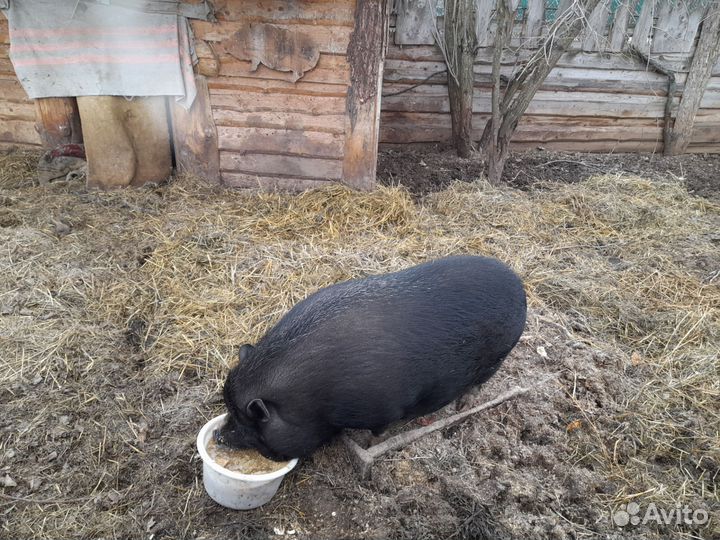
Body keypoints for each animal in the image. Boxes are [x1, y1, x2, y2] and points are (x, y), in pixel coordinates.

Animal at [216, 255, 527, 461]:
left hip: (498, 355)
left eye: (247, 422)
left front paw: (364, 444)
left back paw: (465, 403)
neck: (311, 402)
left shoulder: (385, 408)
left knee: (480, 382)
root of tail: (519, 286)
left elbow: (377, 433)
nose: (219, 436)